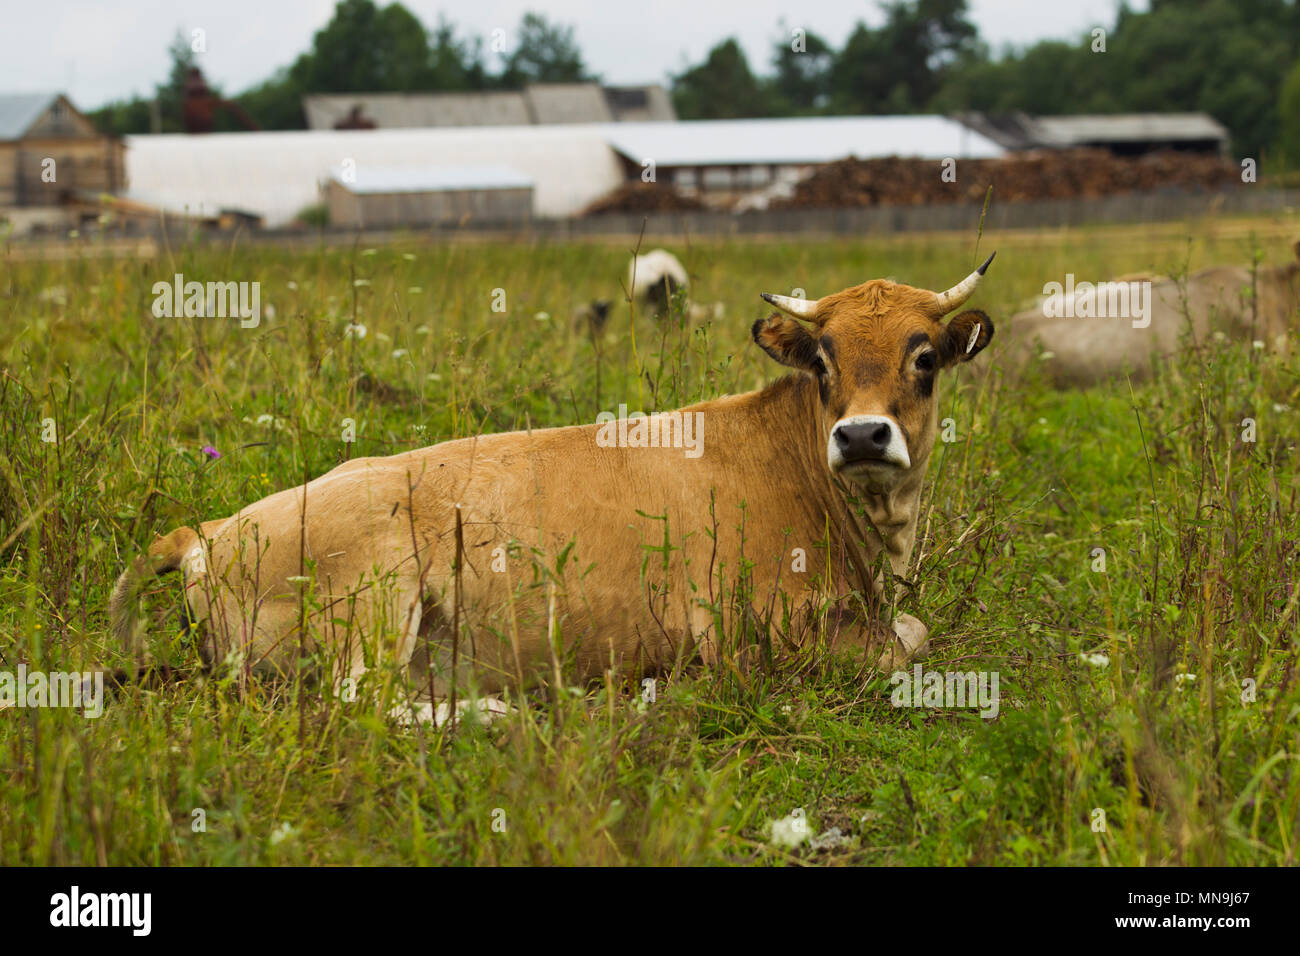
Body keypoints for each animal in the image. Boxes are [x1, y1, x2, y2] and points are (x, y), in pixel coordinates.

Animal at [111, 254, 998, 717]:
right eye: (823, 361)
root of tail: (206, 533)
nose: (861, 435)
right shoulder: (751, 635)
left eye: (924, 355)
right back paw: (494, 712)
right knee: (362, 706)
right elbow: (908, 641)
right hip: (371, 599)